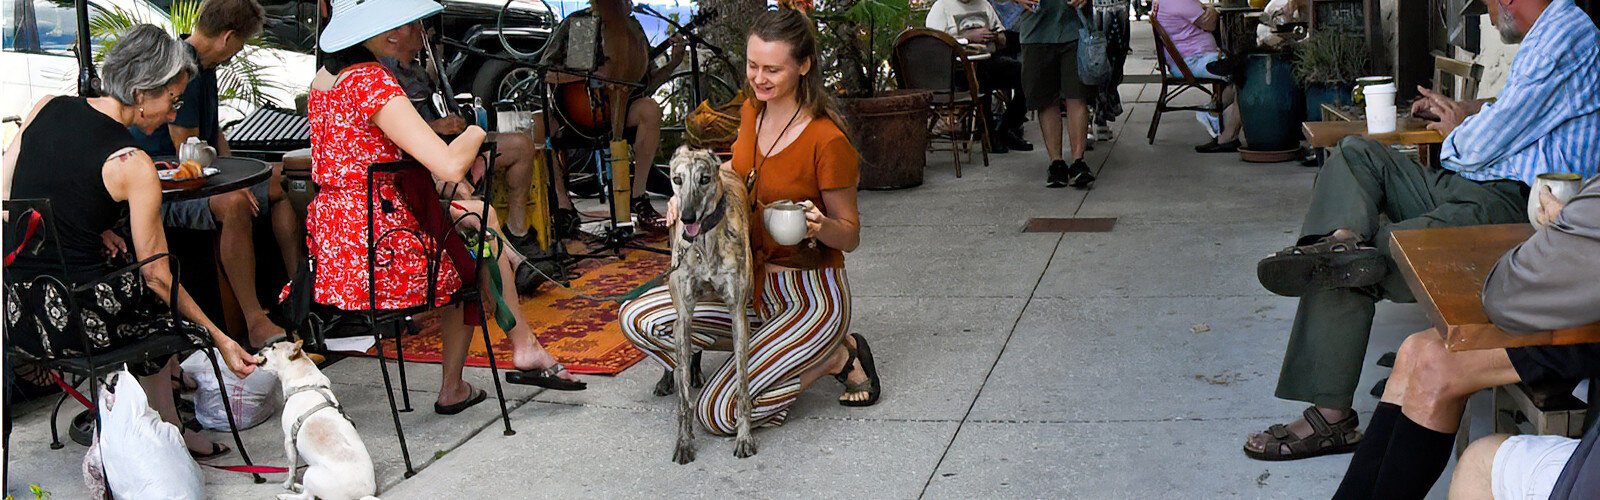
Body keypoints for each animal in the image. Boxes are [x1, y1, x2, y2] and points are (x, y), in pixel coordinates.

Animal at [256, 339, 380, 500]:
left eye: (273, 347)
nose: (260, 350)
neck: (305, 385)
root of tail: (362, 495)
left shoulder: (289, 441)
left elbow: (291, 468)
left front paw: (288, 484)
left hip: (311, 473)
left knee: (308, 497)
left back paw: (288, 494)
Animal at [665, 145, 758, 464]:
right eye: (677, 179)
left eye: (704, 179)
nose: (687, 217)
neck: (703, 241)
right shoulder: (684, 315)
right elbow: (683, 397)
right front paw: (683, 442)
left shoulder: (738, 314)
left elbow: (742, 384)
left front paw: (744, 438)